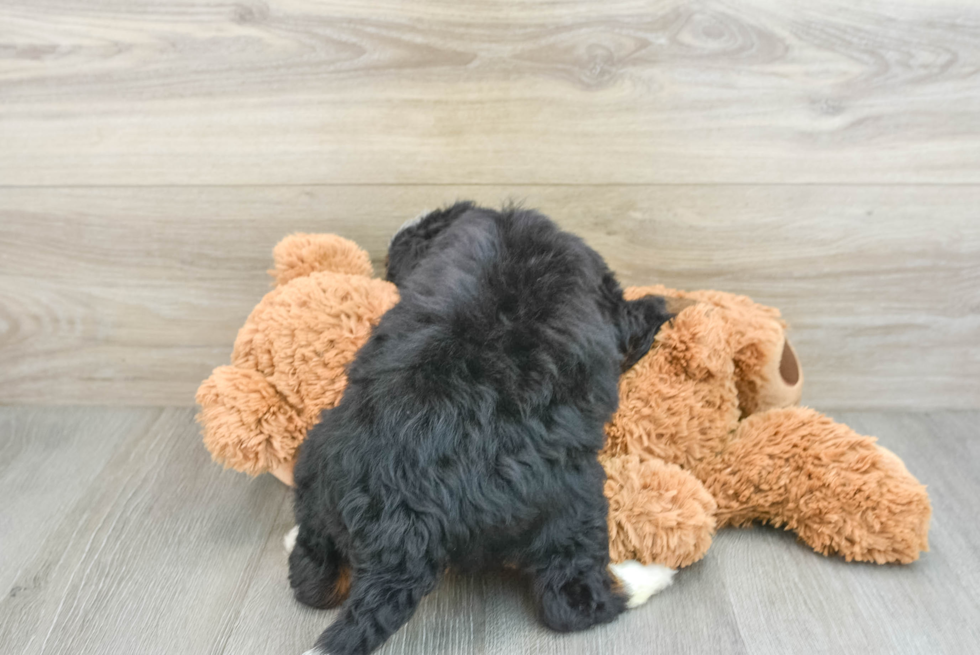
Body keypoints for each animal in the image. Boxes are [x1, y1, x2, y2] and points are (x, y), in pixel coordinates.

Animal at [290, 202, 672, 652]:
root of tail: (399, 527)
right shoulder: (610, 305)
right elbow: (635, 321)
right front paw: (663, 304)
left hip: (316, 472)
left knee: (311, 579)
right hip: (572, 504)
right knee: (571, 601)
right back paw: (648, 577)